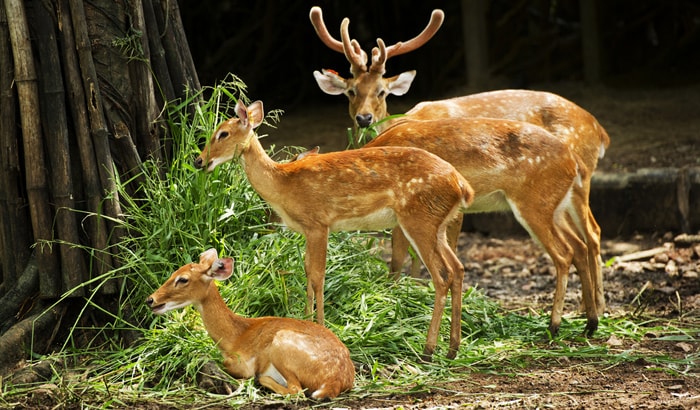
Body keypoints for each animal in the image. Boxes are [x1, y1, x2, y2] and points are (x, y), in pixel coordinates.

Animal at [146, 248, 356, 398]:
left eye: (183, 279)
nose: (150, 300)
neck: (233, 338)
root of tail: (336, 379)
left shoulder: (242, 363)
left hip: (281, 343)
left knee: (297, 391)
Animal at [194, 101, 474, 360]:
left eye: (222, 133)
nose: (198, 161)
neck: (282, 184)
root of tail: (461, 184)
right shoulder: (308, 230)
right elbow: (307, 271)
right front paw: (306, 321)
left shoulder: (319, 223)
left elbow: (318, 275)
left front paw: (320, 325)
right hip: (437, 224)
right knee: (458, 268)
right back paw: (453, 348)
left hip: (419, 220)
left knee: (442, 275)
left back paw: (428, 350)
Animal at [308, 6, 608, 324]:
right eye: (351, 91)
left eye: (381, 91)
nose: (364, 119)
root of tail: (600, 131)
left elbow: (406, 255)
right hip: (560, 201)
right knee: (580, 242)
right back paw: (587, 313)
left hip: (574, 186)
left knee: (590, 235)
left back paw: (585, 313)